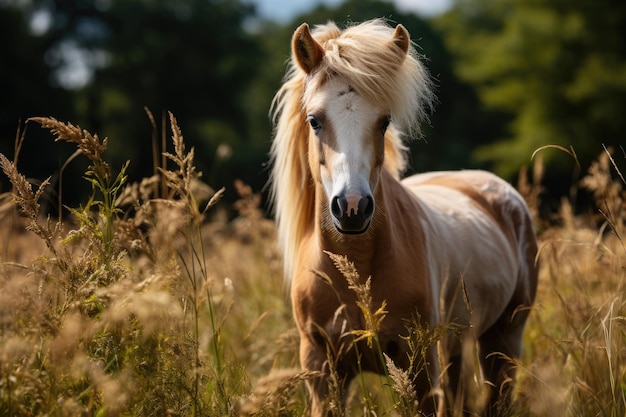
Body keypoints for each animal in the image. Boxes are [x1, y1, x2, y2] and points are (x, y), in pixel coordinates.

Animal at [268, 17, 536, 414]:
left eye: (384, 121)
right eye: (314, 121)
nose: (352, 207)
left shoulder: (420, 369)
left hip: (504, 341)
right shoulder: (321, 370)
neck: (358, 270)